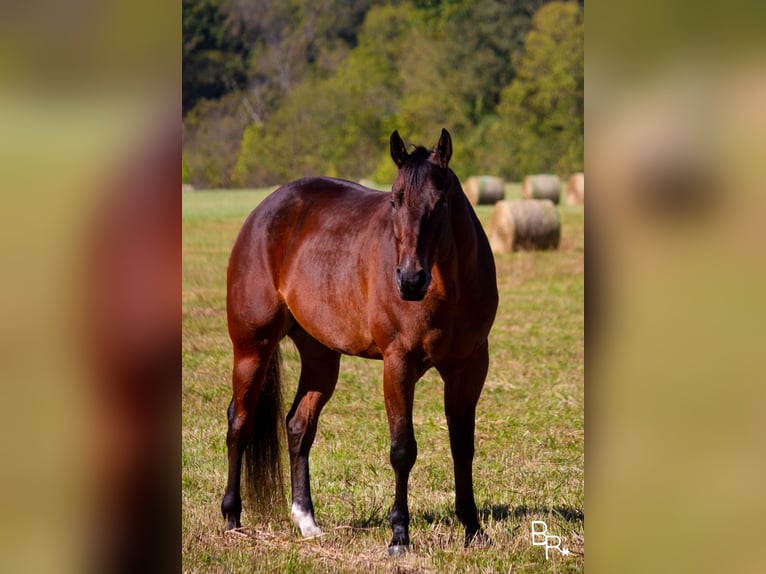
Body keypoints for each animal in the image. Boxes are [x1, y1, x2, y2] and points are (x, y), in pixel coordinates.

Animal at [219, 128, 500, 556]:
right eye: (394, 200)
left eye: (441, 201)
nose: (410, 280)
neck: (448, 288)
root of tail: (265, 210)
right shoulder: (398, 363)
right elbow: (403, 449)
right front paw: (399, 535)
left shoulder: (469, 366)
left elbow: (462, 446)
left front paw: (473, 528)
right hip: (253, 347)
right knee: (240, 422)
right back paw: (233, 518)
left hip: (320, 357)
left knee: (298, 425)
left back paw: (307, 522)